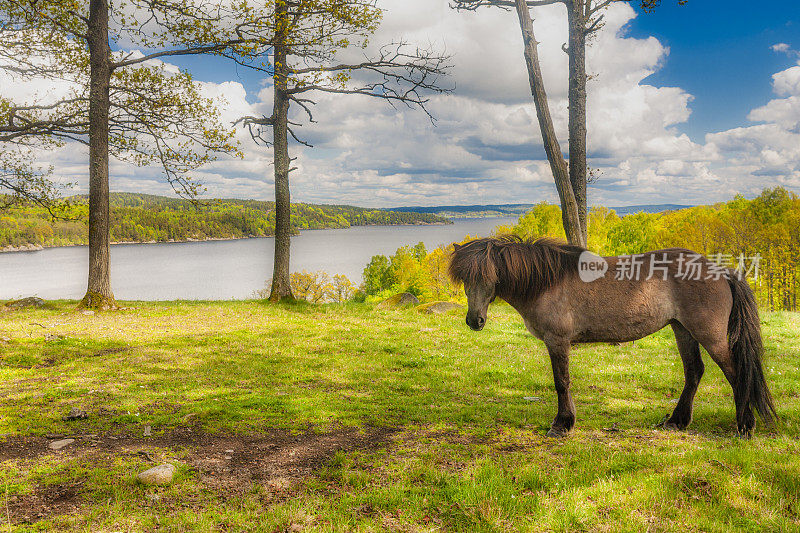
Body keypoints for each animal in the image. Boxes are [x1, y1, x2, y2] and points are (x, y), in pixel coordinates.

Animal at [450, 235, 776, 434]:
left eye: (490, 276)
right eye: (465, 278)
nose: (475, 320)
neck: (547, 281)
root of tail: (721, 272)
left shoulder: (557, 341)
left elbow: (561, 382)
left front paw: (562, 424)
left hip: (710, 336)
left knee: (736, 373)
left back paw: (745, 425)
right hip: (682, 330)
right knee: (694, 372)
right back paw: (677, 421)